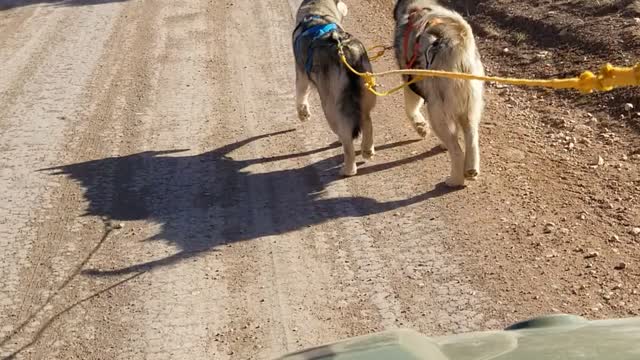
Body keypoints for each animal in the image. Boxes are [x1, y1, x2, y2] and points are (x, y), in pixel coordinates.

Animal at [294, 0, 378, 176]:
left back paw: (348, 168)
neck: (317, 13)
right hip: (367, 92)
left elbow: (300, 95)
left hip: (331, 107)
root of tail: (345, 51)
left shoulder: (301, 74)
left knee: (346, 138)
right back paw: (367, 150)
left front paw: (303, 114)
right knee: (367, 120)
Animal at [390, 2, 484, 188]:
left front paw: (421, 128)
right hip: (469, 107)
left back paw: (455, 179)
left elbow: (410, 109)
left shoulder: (411, 82)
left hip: (437, 111)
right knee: (471, 137)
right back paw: (471, 170)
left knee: (457, 151)